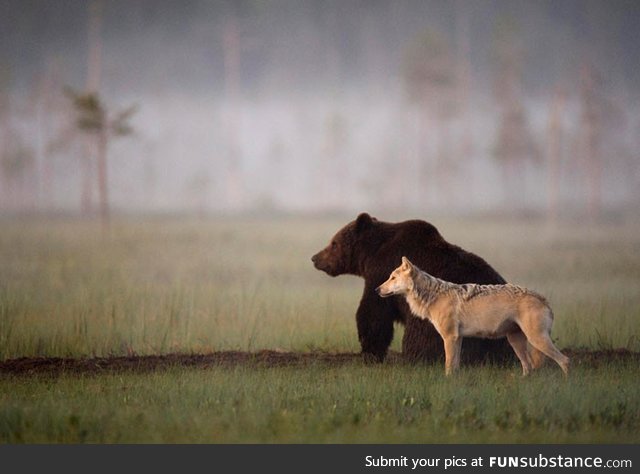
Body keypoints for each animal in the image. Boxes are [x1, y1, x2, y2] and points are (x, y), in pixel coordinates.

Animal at [310, 213, 516, 364]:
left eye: (334, 243)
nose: (315, 258)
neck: (371, 253)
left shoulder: (381, 273)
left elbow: (373, 313)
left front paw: (370, 352)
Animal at [376, 258, 568, 376]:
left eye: (392, 278)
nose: (377, 289)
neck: (433, 296)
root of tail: (543, 299)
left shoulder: (450, 337)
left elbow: (448, 365)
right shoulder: (458, 338)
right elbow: (455, 366)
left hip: (536, 340)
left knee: (565, 361)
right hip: (516, 342)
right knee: (528, 368)